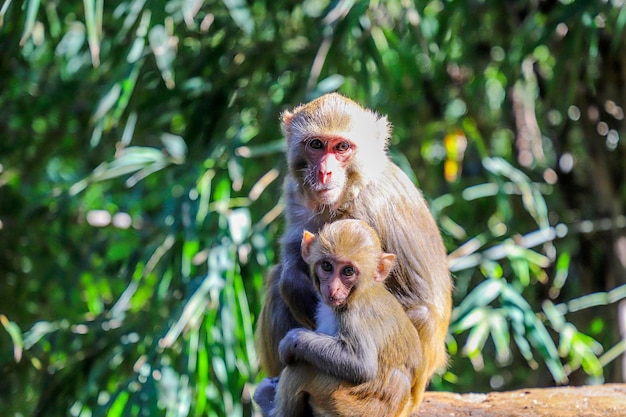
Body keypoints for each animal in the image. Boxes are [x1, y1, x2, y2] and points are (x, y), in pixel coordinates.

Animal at [256, 92, 450, 410]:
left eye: (342, 147)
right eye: (316, 145)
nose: (324, 172)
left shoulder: (368, 210)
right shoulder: (293, 191)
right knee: (278, 278)